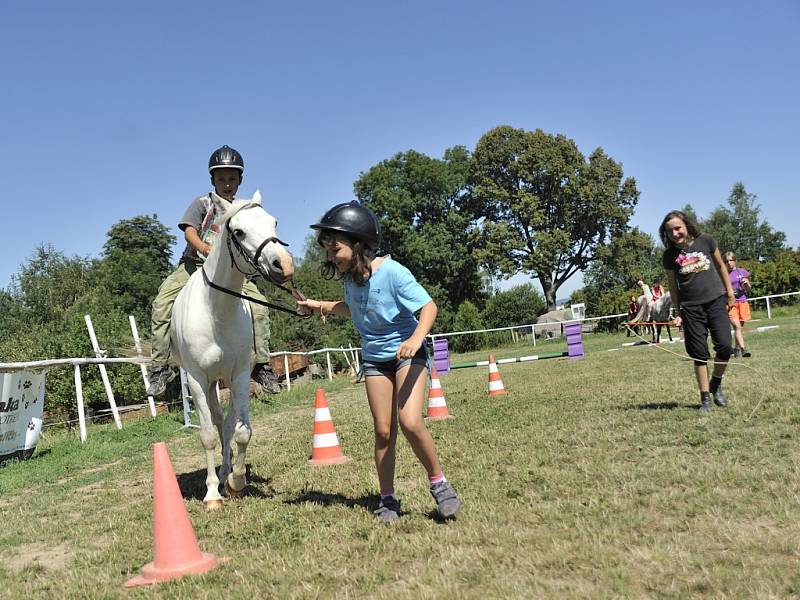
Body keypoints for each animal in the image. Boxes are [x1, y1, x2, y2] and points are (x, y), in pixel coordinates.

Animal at [171, 190, 294, 508]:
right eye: (238, 231)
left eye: (274, 222)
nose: (283, 264)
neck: (217, 311)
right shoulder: (197, 380)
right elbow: (207, 436)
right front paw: (212, 493)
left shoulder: (239, 376)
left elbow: (241, 431)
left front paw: (235, 482)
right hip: (210, 383)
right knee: (216, 423)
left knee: (226, 424)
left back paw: (227, 472)